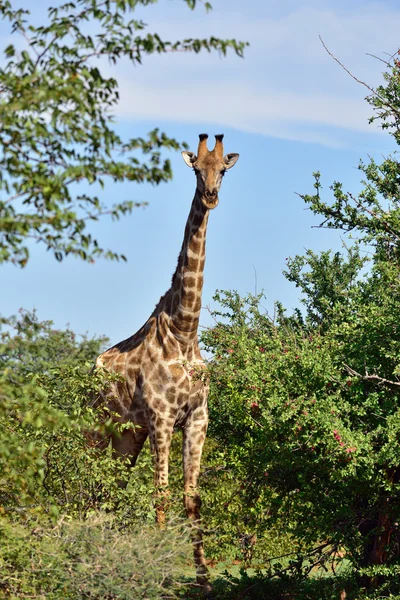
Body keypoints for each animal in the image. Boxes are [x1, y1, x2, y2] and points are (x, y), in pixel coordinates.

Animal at [94, 134, 238, 592]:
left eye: (223, 169)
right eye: (196, 169)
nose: (210, 197)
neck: (185, 330)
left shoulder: (197, 418)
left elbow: (192, 497)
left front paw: (204, 580)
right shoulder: (161, 417)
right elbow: (161, 494)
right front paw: (158, 575)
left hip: (127, 435)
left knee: (110, 486)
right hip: (98, 427)